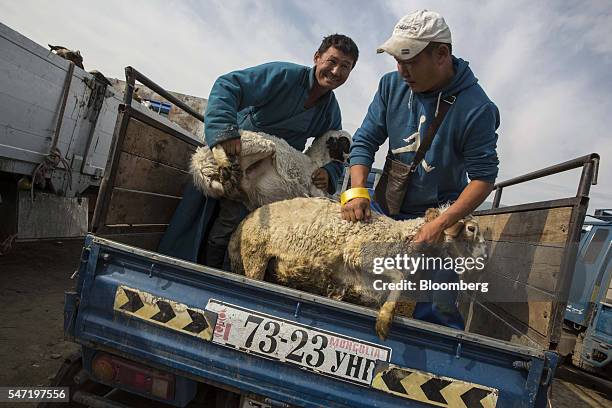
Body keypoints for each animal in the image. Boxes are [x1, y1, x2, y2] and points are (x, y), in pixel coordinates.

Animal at [189, 129, 352, 210]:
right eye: (346, 142)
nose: (350, 160)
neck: (316, 161)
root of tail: (200, 161)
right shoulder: (313, 186)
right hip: (260, 145)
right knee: (219, 147)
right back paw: (228, 168)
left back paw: (231, 179)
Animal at [227, 196, 486, 340]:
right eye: (471, 229)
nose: (483, 257)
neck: (400, 238)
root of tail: (243, 223)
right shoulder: (359, 253)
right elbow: (399, 277)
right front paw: (384, 320)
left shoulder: (350, 289)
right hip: (255, 255)